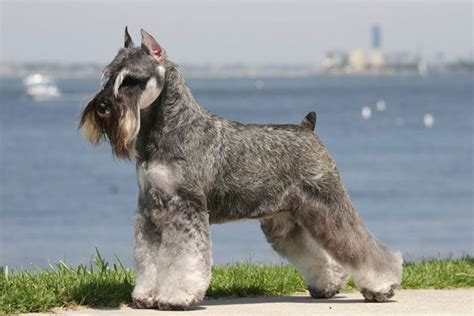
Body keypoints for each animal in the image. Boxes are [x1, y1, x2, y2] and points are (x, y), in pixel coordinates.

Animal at [79, 28, 402, 310]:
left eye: (131, 80)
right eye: (108, 77)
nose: (102, 106)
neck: (169, 130)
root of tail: (307, 128)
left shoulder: (186, 209)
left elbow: (184, 260)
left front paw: (175, 297)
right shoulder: (149, 211)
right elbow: (149, 259)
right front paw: (145, 296)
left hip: (328, 207)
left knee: (360, 245)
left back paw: (383, 286)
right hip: (286, 222)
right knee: (321, 254)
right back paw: (328, 285)